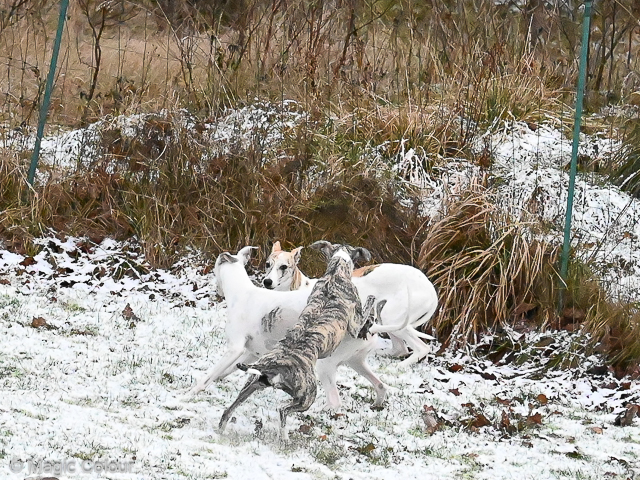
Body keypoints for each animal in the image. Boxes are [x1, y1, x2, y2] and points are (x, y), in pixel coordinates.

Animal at [219, 244, 384, 432]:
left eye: (283, 267)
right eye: (268, 264)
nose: (267, 282)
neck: (335, 274)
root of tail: (274, 371)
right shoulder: (355, 324)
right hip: (320, 379)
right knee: (294, 408)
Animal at [262, 238, 438, 366]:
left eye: (284, 267)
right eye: (267, 264)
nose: (267, 282)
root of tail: (433, 293)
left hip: (394, 318)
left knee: (421, 348)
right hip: (386, 316)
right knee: (400, 348)